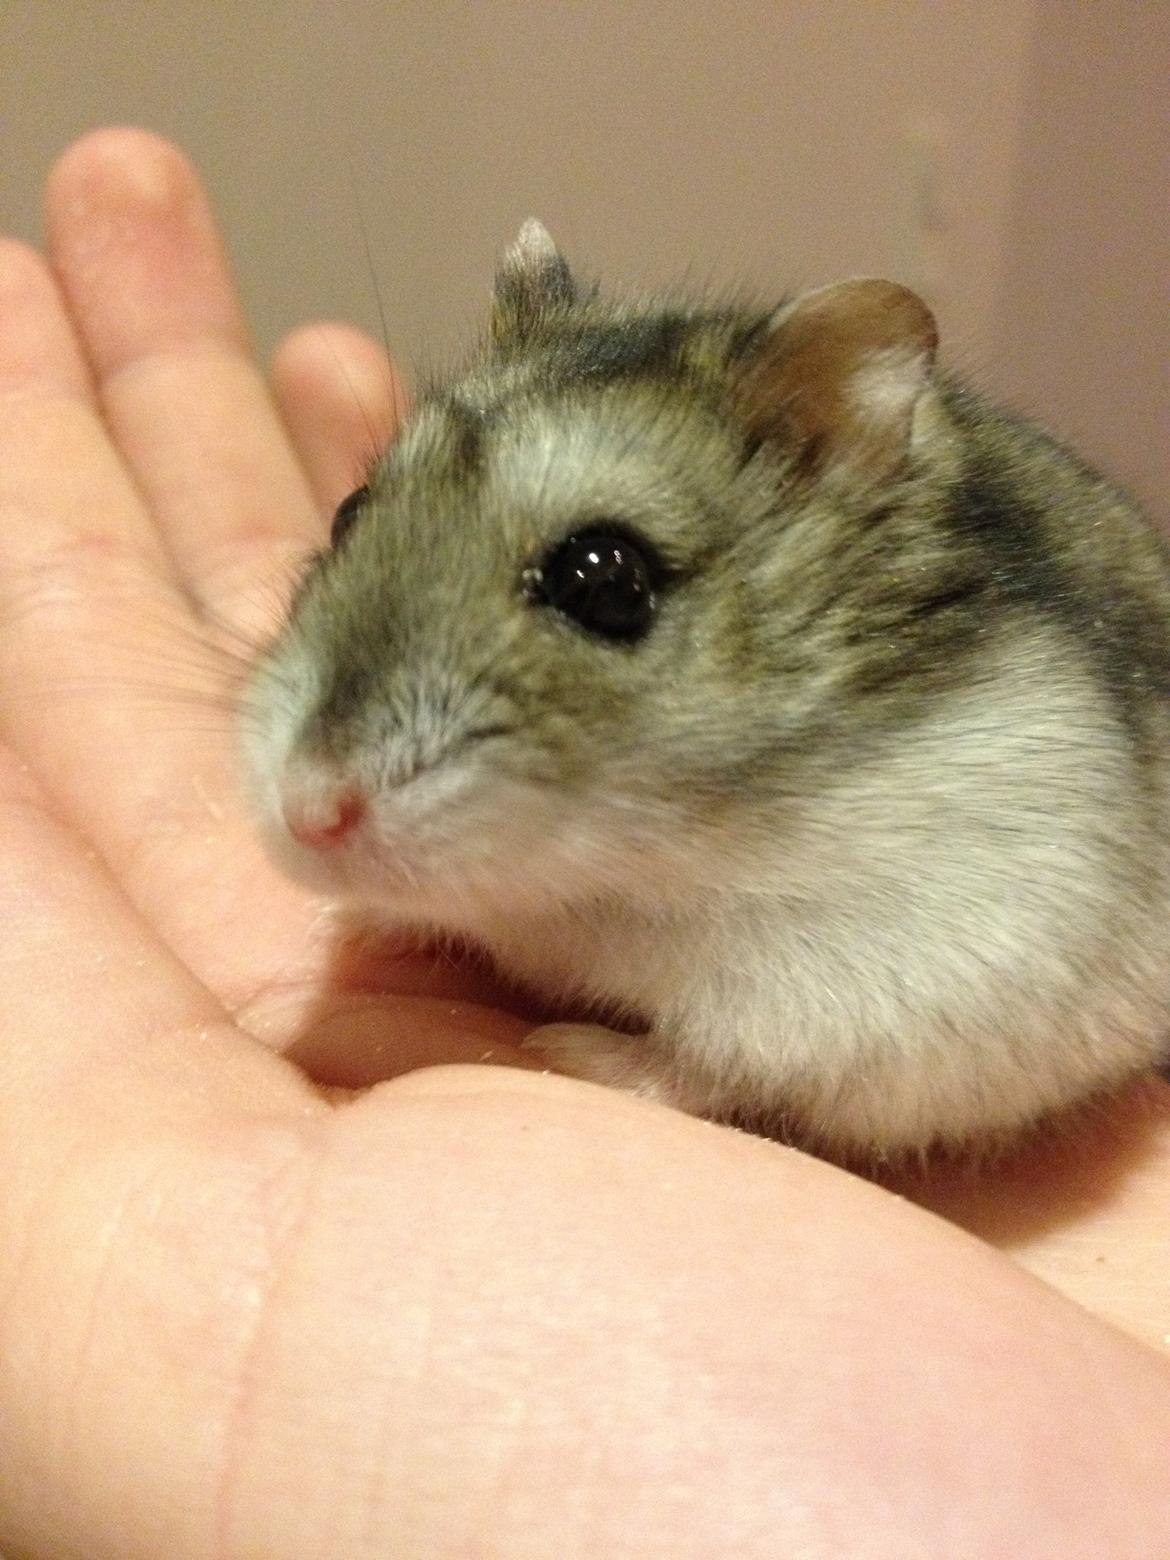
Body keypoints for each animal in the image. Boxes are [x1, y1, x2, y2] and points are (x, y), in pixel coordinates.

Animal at [242, 219, 1170, 1157]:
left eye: (605, 581)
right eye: (350, 512)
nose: (306, 814)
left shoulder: (912, 972)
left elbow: (715, 1065)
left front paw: (567, 1052)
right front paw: (366, 924)